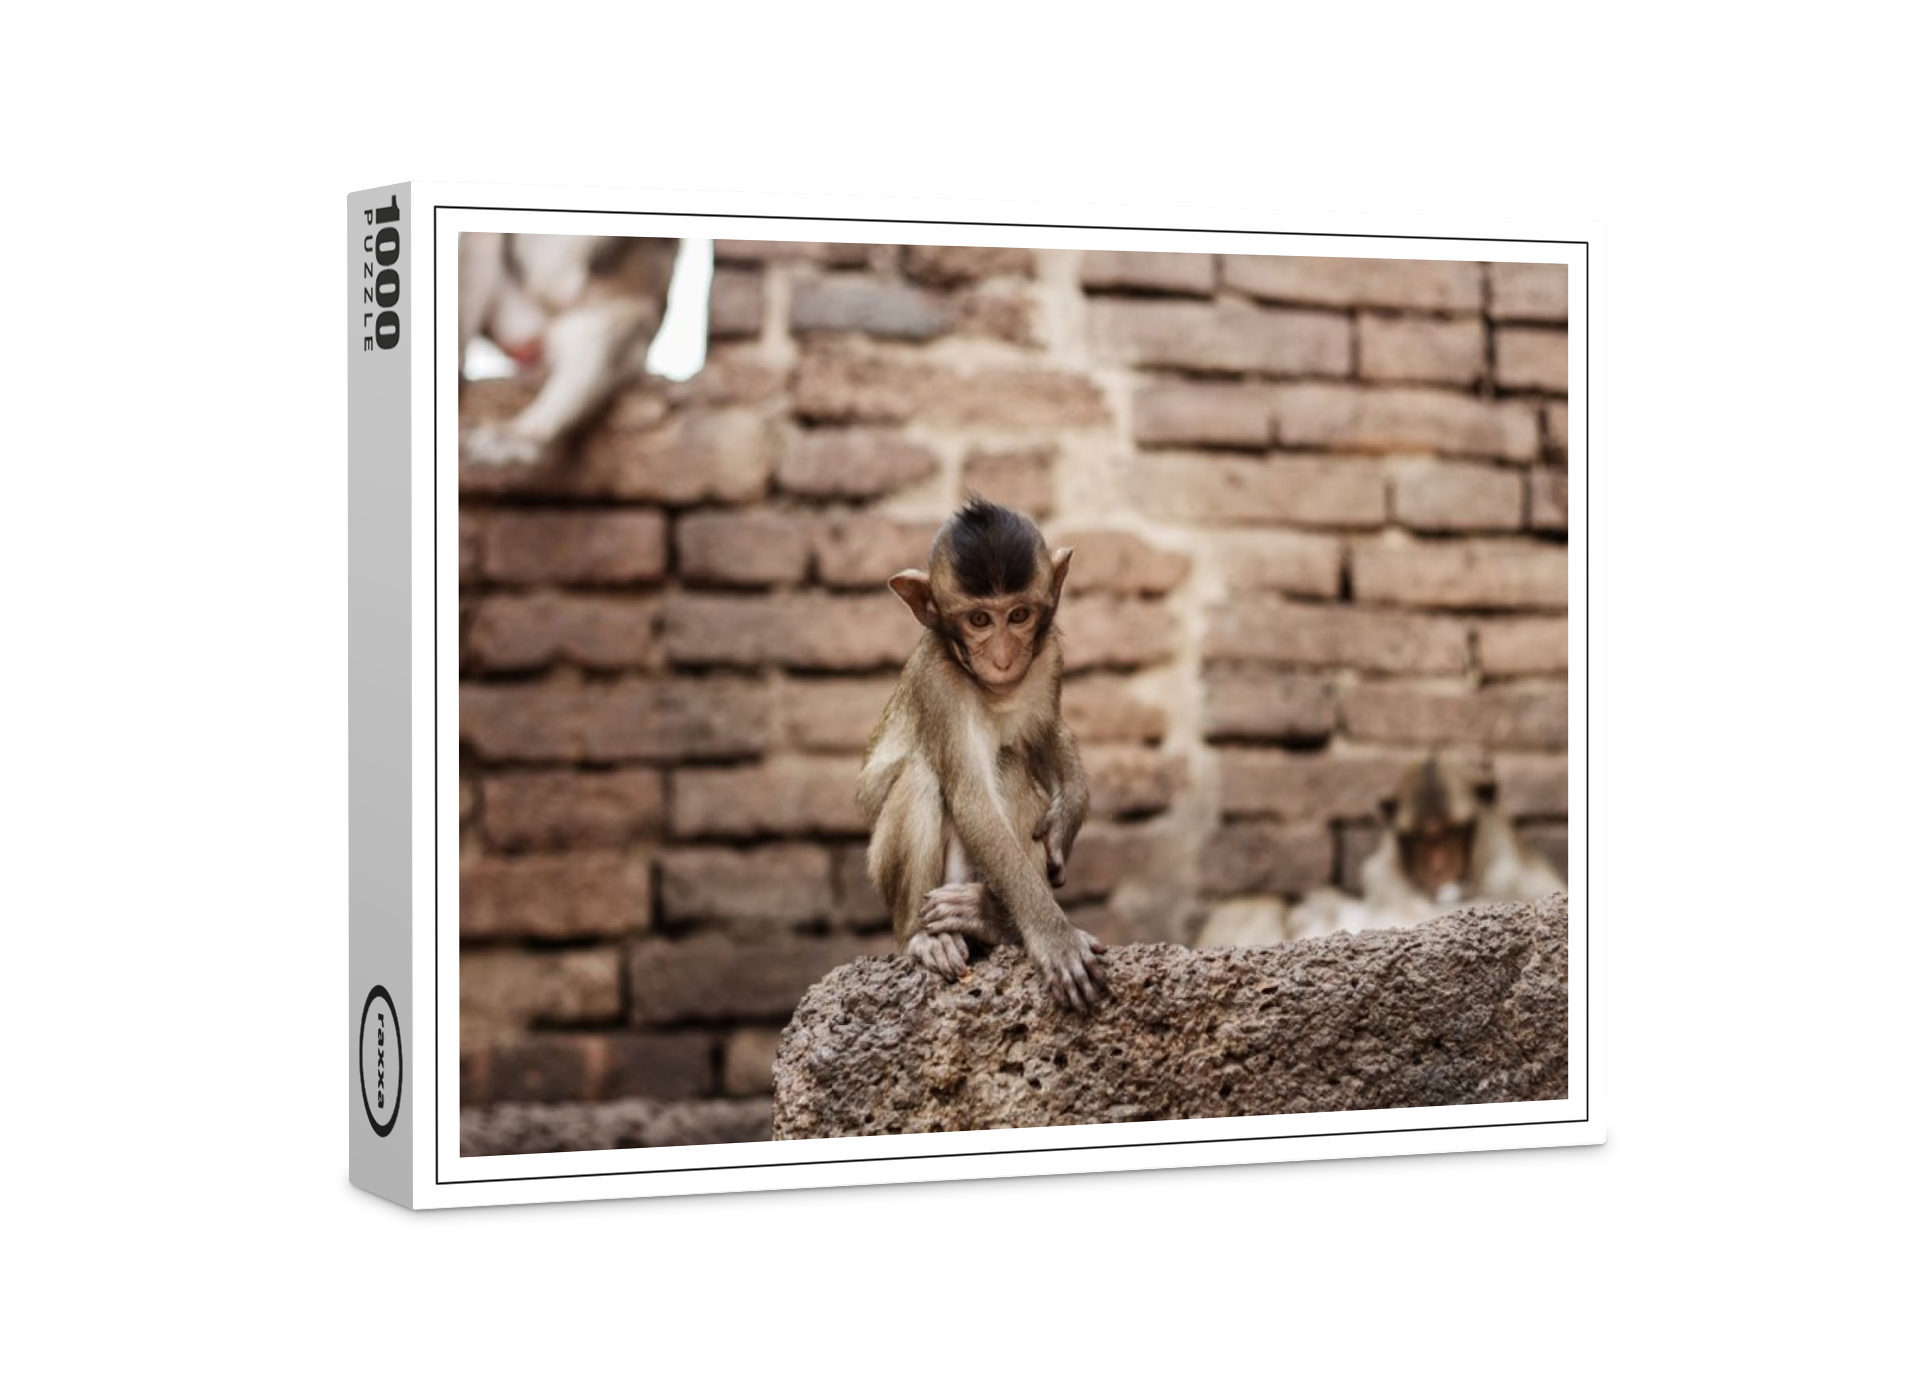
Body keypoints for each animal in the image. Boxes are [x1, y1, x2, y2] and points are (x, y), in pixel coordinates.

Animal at [856, 497, 1108, 1012]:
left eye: (1019, 615)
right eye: (979, 621)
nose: (1004, 657)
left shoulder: (1048, 657)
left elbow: (1045, 734)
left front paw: (1066, 818)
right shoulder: (939, 681)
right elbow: (973, 802)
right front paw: (1055, 937)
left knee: (1010, 764)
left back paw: (988, 918)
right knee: (923, 776)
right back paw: (925, 938)